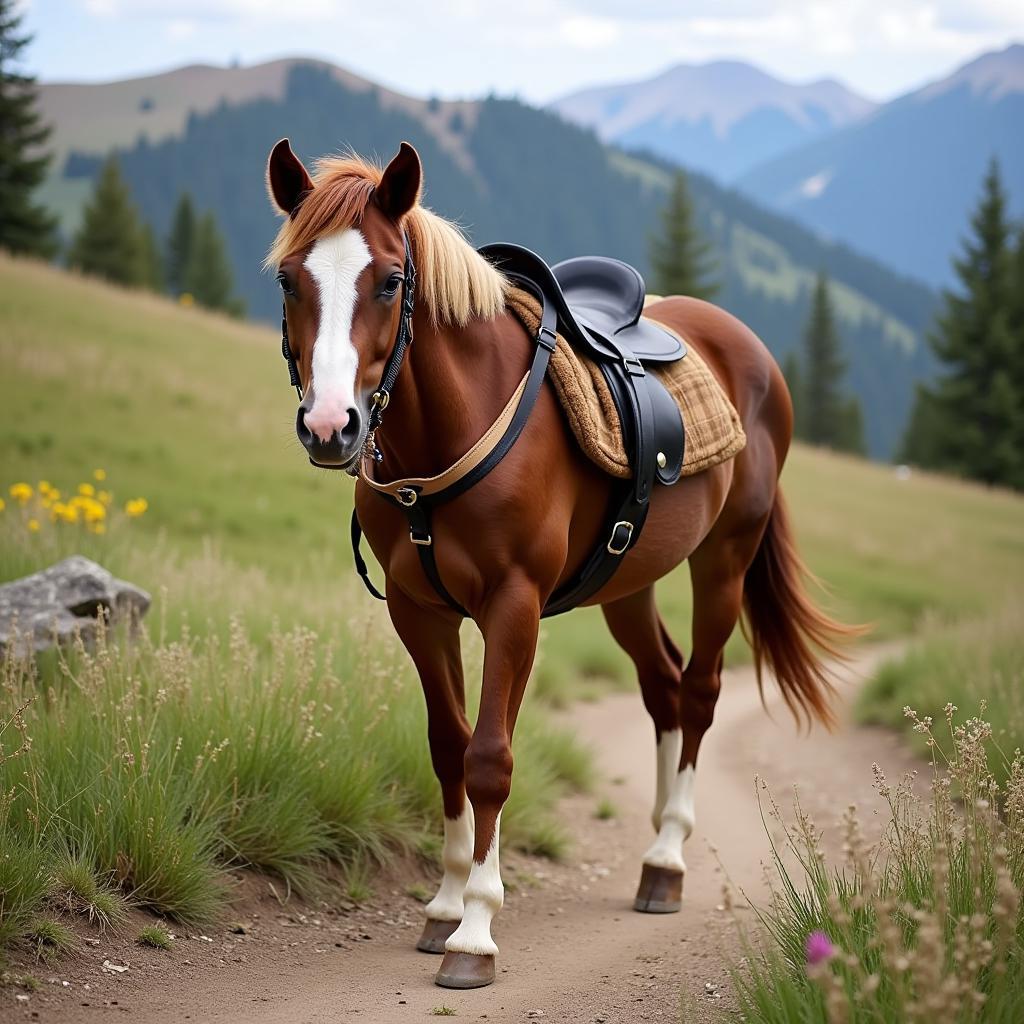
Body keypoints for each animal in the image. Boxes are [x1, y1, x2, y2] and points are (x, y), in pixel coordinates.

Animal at [264, 140, 856, 987]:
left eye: (389, 280)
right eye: (289, 279)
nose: (329, 426)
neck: (456, 420)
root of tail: (747, 349)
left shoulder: (513, 605)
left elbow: (490, 755)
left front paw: (475, 931)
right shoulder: (420, 611)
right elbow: (450, 747)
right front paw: (446, 903)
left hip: (725, 560)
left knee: (700, 692)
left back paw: (668, 859)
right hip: (628, 584)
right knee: (664, 687)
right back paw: (651, 856)